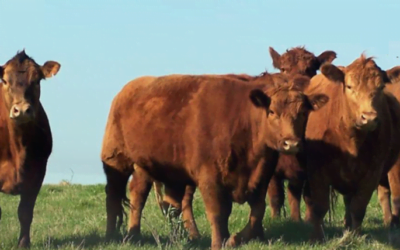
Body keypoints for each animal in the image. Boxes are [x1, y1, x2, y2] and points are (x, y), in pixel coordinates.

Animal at [0, 49, 60, 247]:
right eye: (5, 80)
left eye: (37, 80)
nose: (22, 110)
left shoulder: (37, 173)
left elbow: (25, 212)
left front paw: (23, 244)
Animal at [101, 72, 330, 248]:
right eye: (272, 111)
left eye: (304, 113)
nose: (291, 143)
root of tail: (129, 89)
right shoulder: (210, 179)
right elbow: (218, 213)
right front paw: (219, 243)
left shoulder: (261, 178)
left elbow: (257, 212)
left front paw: (235, 239)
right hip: (116, 161)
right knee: (117, 195)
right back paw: (116, 235)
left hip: (161, 171)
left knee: (161, 201)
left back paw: (178, 237)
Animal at [304, 54, 400, 240]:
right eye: (349, 86)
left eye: (381, 87)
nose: (369, 118)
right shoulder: (316, 171)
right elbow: (319, 206)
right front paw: (316, 237)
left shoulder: (373, 172)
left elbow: (358, 207)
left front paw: (355, 236)